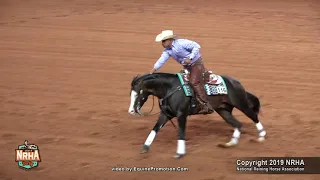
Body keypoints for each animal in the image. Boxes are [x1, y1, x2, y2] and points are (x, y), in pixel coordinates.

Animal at [129, 71, 266, 159]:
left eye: (138, 94)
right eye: (131, 94)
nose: (131, 111)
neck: (170, 88)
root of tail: (236, 82)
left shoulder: (181, 114)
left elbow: (181, 133)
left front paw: (180, 153)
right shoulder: (166, 114)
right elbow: (155, 129)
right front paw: (145, 147)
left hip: (241, 104)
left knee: (253, 116)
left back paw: (261, 136)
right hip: (224, 111)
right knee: (238, 124)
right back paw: (230, 143)